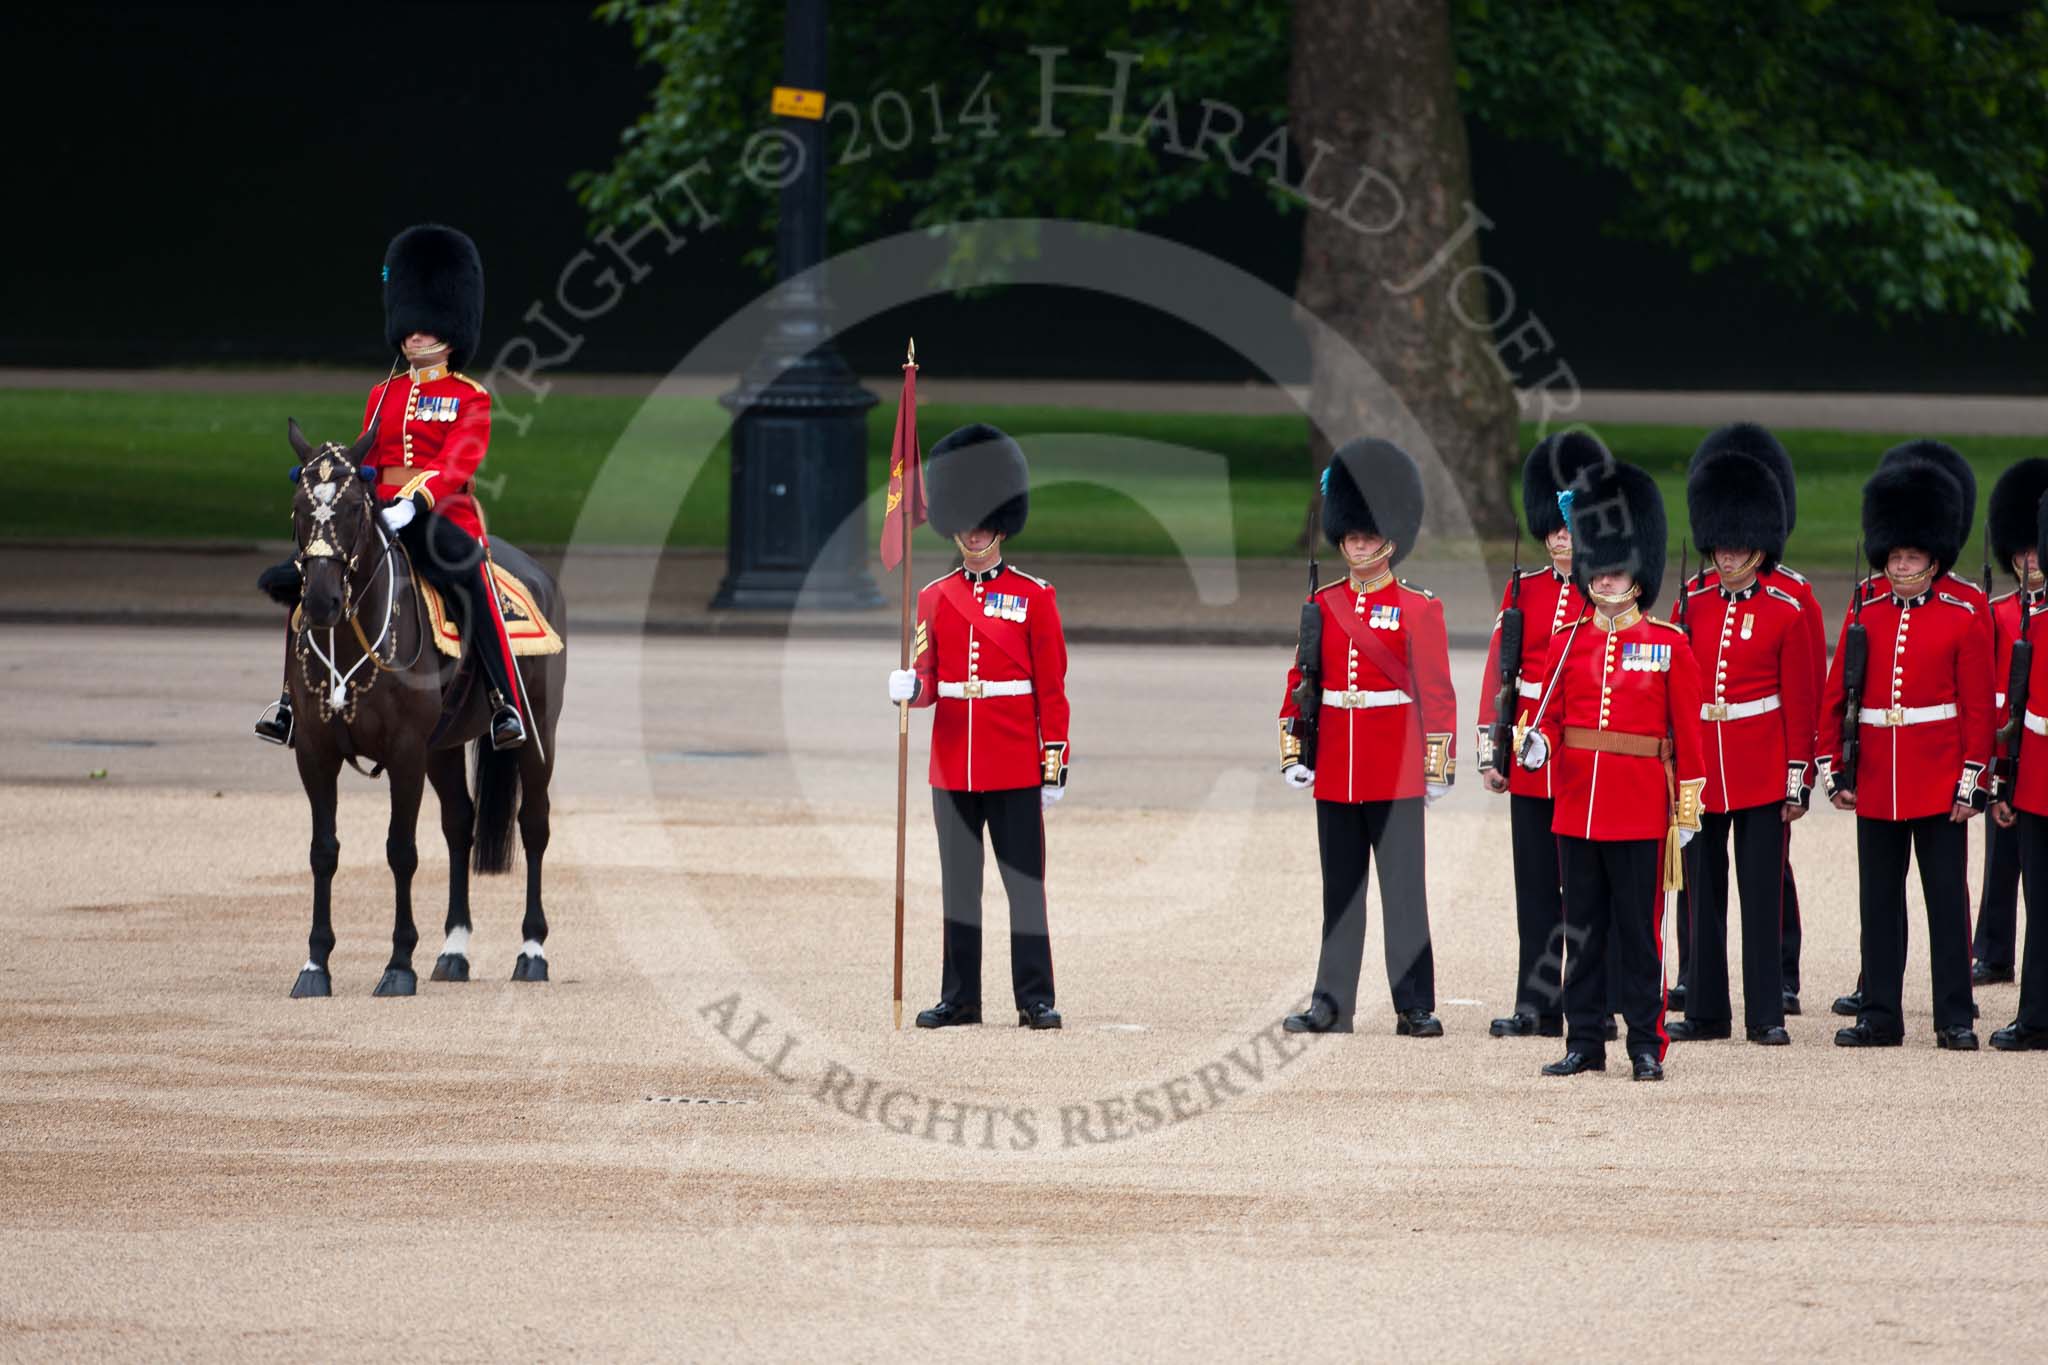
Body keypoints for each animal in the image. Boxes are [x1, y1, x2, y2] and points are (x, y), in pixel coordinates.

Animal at [276, 421, 569, 998]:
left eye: (353, 508)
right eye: (299, 506)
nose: (318, 601)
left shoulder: (406, 751)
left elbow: (401, 850)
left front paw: (398, 964)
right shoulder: (315, 752)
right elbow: (323, 850)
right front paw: (316, 964)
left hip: (537, 731)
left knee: (534, 824)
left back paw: (532, 951)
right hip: (445, 746)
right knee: (460, 824)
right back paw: (454, 950)